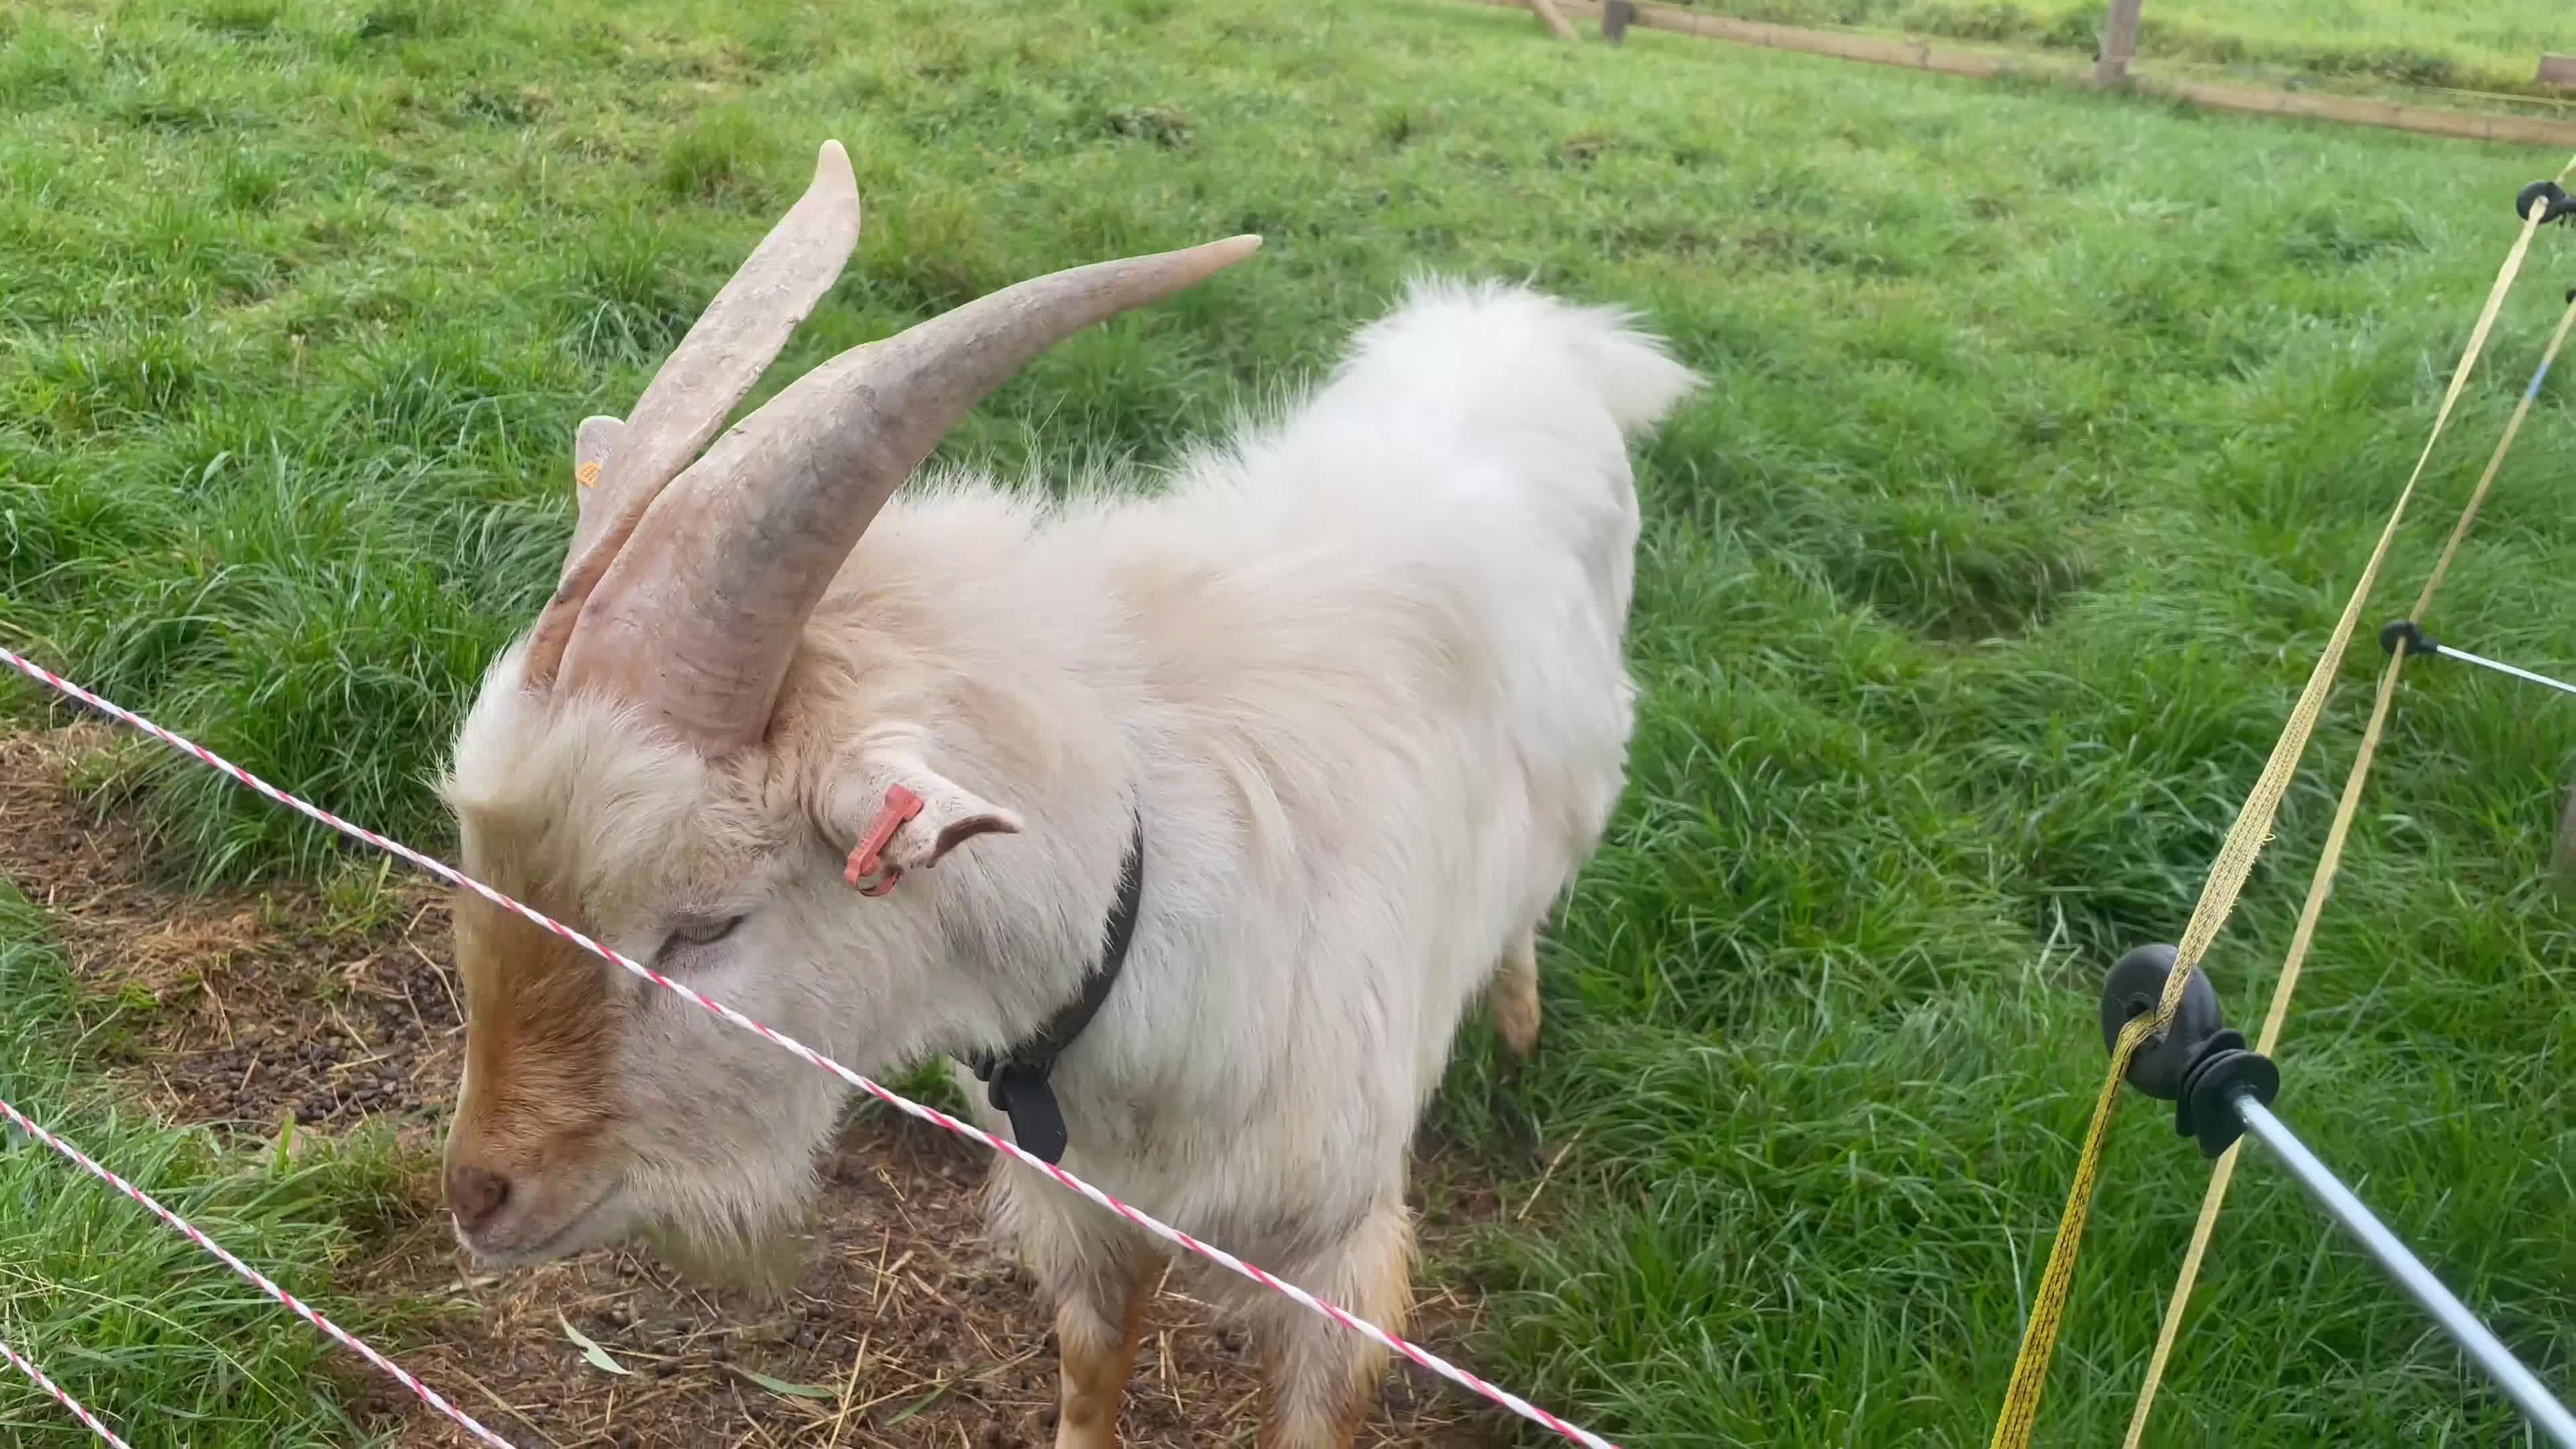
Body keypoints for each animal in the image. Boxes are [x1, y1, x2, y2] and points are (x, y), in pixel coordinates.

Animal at [434, 138, 1698, 1447]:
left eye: (705, 926)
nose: (482, 1194)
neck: (1147, 894)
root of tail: (1529, 328)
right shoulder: (1089, 1208)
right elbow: (1094, 1370)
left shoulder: (1337, 1256)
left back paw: (1518, 1017)